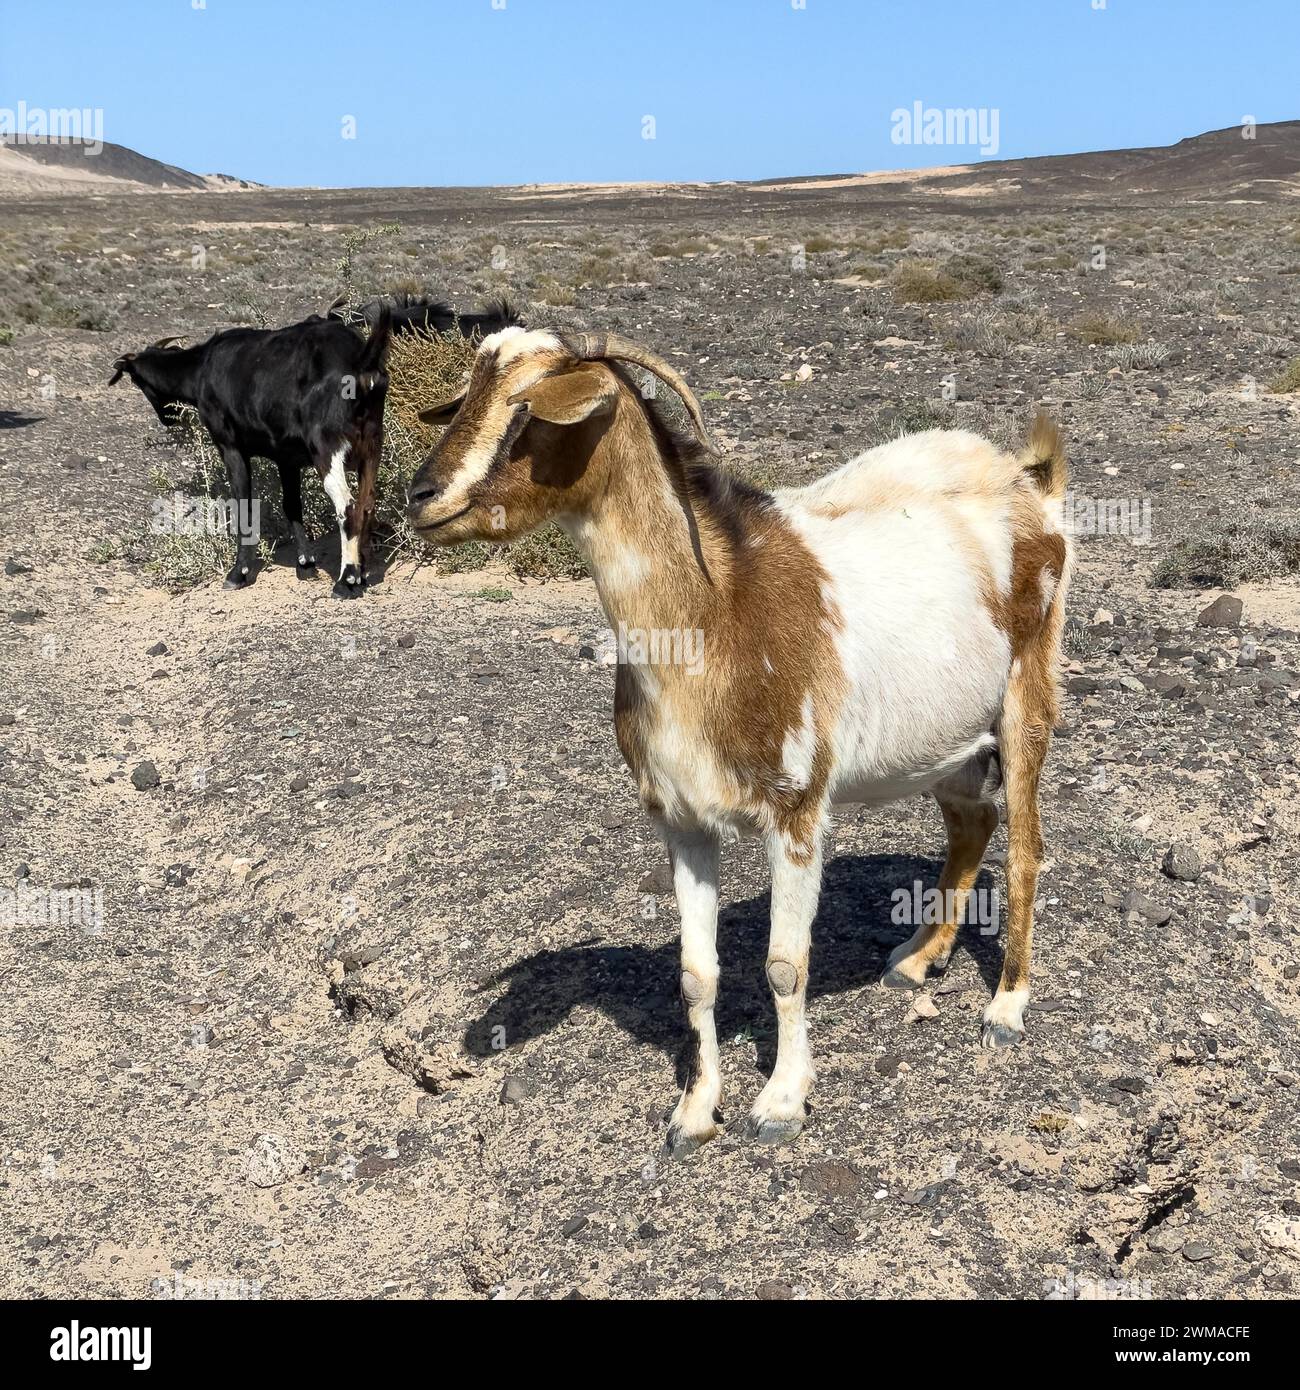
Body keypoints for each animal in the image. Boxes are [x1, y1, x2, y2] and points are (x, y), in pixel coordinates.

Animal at [110, 306, 392, 597]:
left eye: (137, 381)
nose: (168, 419)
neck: (201, 368)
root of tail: (360, 360)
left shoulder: (230, 446)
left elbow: (243, 505)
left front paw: (238, 573)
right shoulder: (286, 457)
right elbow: (292, 505)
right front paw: (305, 565)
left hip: (326, 446)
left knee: (348, 507)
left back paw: (346, 580)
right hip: (372, 442)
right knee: (367, 502)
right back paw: (362, 573)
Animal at [406, 327, 1071, 1153]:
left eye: (528, 411)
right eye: (469, 393)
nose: (420, 497)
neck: (718, 611)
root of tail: (1032, 486)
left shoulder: (796, 812)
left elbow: (786, 966)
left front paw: (782, 1102)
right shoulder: (683, 820)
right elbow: (697, 975)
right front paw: (695, 1111)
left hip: (1027, 693)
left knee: (1025, 848)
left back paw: (1006, 1006)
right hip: (943, 734)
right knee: (971, 820)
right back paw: (919, 959)